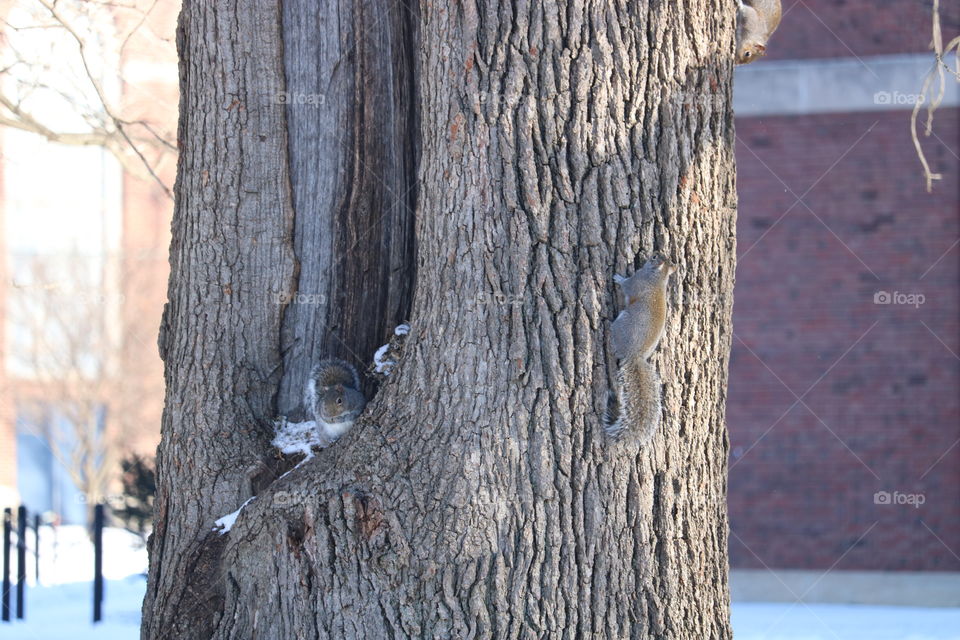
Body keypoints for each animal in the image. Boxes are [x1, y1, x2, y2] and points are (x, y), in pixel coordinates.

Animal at [603, 255, 676, 445]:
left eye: (655, 257)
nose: (652, 254)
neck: (658, 278)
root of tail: (634, 355)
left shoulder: (635, 282)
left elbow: (626, 284)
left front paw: (618, 277)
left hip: (622, 322)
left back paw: (607, 328)